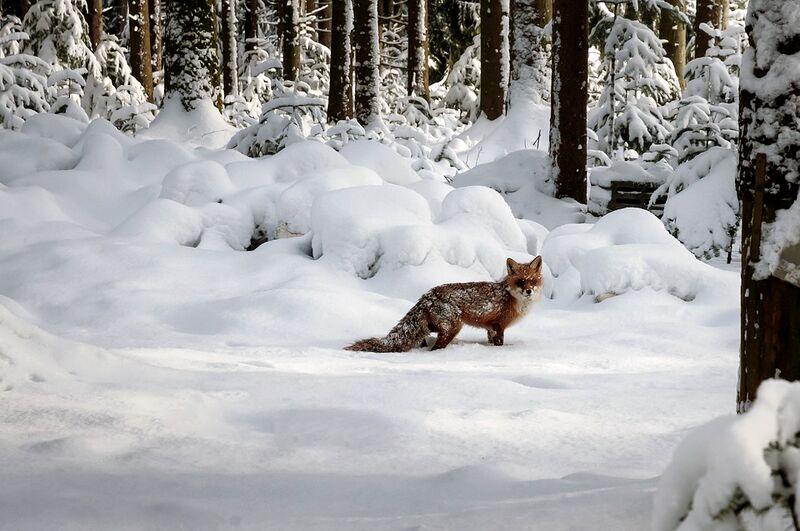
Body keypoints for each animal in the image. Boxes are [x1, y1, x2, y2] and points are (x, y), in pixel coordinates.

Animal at [345, 256, 544, 352]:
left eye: (532, 281)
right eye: (520, 282)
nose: (529, 291)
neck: (512, 298)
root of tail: (427, 295)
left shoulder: (490, 327)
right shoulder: (498, 326)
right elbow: (499, 344)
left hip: (436, 326)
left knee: (423, 335)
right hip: (453, 328)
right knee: (435, 347)